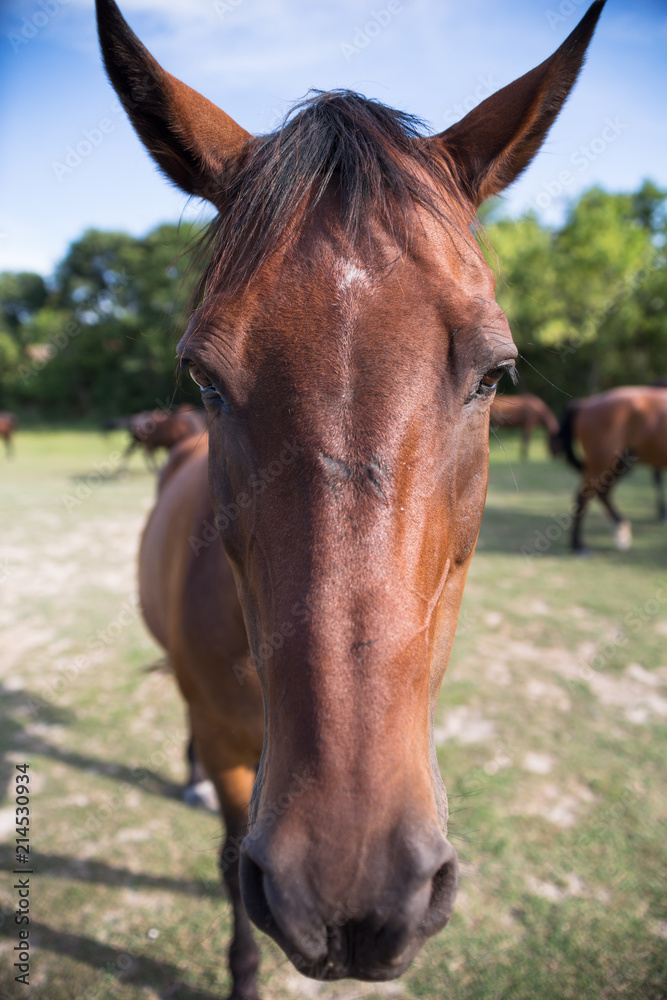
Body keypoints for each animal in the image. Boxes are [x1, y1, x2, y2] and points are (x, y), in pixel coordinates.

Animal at [97, 0, 607, 994]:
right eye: (203, 377)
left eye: (495, 373)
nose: (346, 888)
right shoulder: (234, 760)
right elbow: (230, 856)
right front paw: (242, 969)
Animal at [559, 386, 667, 552]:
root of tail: (586, 403)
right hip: (602, 462)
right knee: (584, 495)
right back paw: (578, 544)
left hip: (617, 464)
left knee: (602, 492)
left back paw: (620, 530)